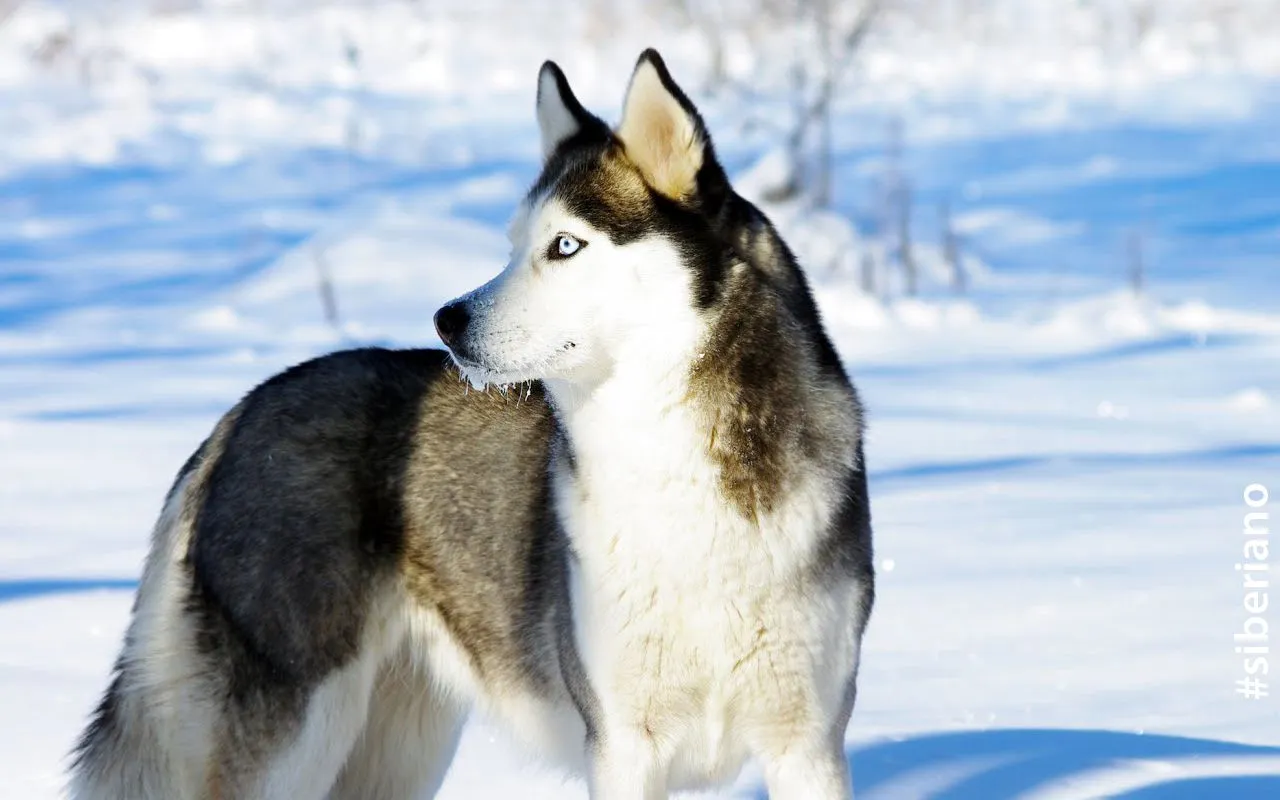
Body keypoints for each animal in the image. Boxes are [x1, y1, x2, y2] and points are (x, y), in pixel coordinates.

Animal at [67, 51, 870, 798]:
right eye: (514, 245)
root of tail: (239, 414)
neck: (671, 473)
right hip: (295, 733)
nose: (446, 320)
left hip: (396, 748)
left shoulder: (809, 746)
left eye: (566, 244)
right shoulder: (620, 745)